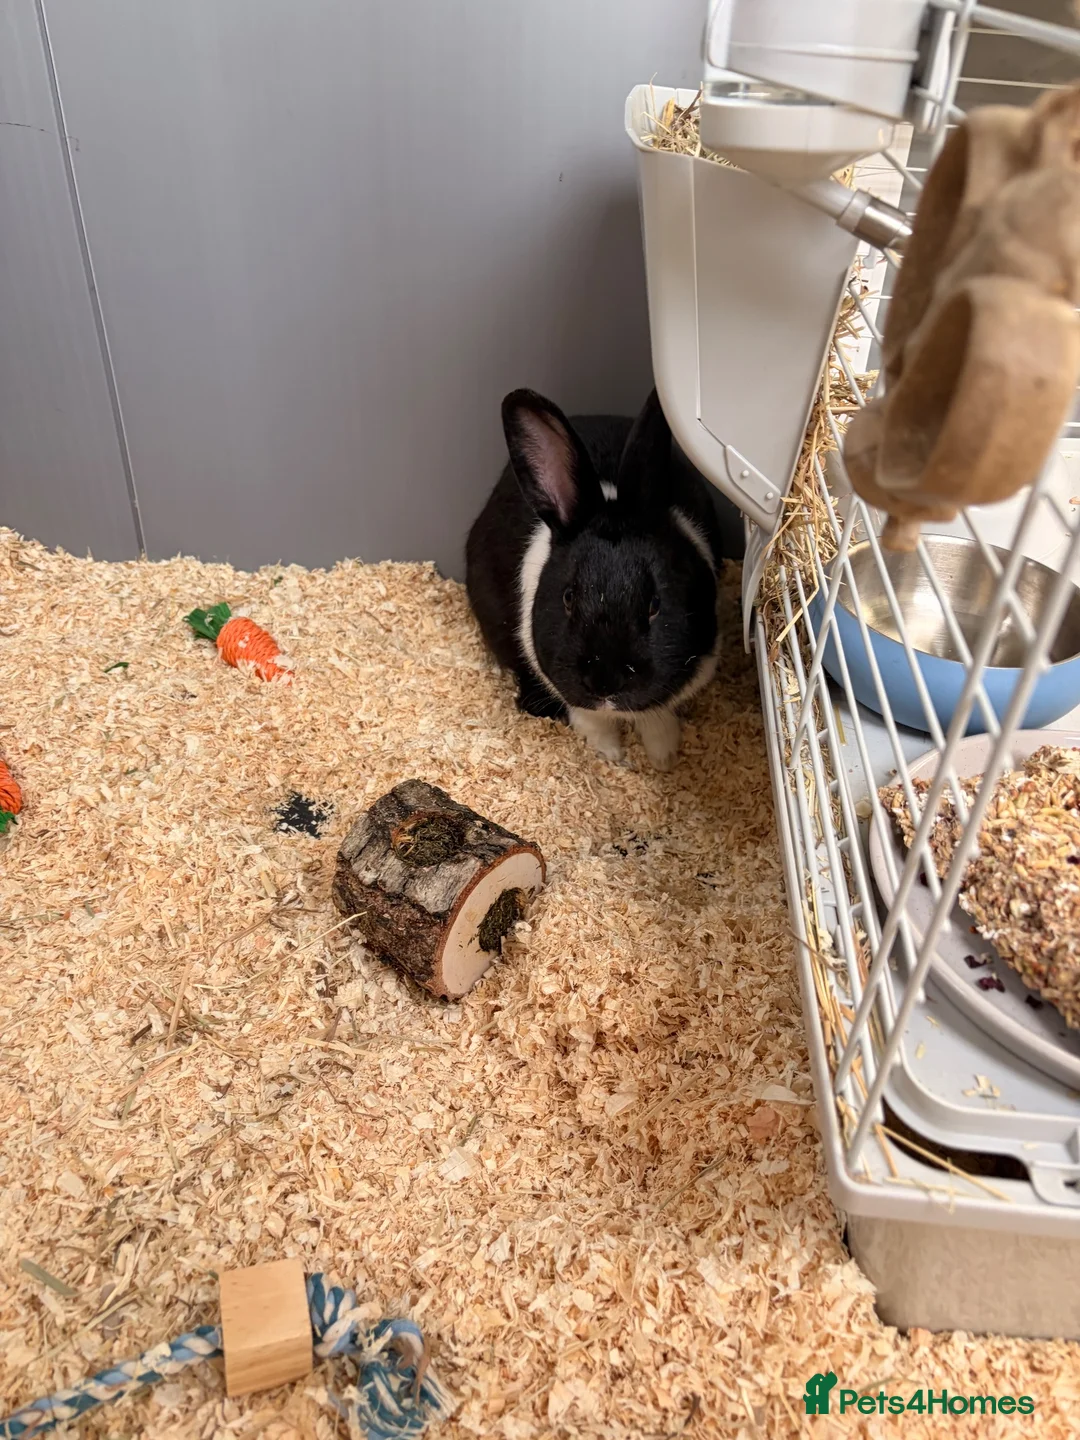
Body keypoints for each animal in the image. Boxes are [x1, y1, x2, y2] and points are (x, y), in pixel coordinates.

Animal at [465, 386, 723, 770]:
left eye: (655, 604)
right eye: (568, 597)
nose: (605, 683)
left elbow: (656, 717)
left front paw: (663, 757)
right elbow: (591, 719)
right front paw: (610, 755)